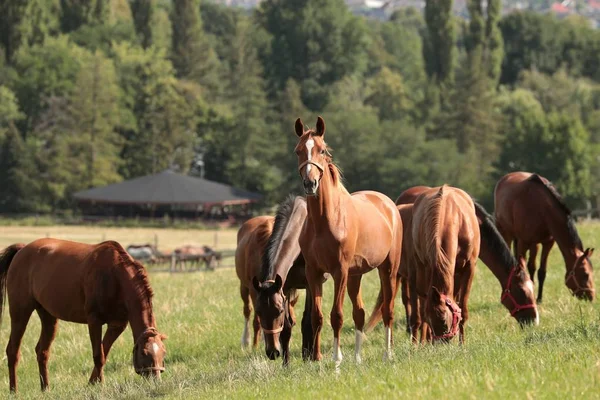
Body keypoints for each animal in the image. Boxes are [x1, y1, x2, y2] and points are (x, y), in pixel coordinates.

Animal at [0, 239, 166, 392]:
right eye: (144, 352)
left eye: (163, 352)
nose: (156, 381)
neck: (114, 276)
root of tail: (22, 250)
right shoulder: (94, 321)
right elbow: (99, 356)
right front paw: (99, 385)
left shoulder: (117, 325)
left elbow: (104, 352)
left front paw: (92, 383)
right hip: (20, 313)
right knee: (13, 350)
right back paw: (14, 390)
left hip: (48, 316)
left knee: (42, 351)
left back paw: (45, 388)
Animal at [251, 195, 324, 364]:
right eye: (258, 311)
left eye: (279, 311)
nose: (272, 352)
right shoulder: (283, 287)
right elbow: (286, 328)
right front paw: (286, 363)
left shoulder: (310, 284)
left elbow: (308, 321)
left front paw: (309, 357)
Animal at [292, 116, 400, 366]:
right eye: (298, 151)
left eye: (322, 150)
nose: (310, 184)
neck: (326, 221)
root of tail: (388, 204)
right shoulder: (314, 272)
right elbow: (317, 317)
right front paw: (317, 360)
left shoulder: (339, 271)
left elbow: (337, 315)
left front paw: (336, 359)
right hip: (355, 275)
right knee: (359, 313)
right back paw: (358, 358)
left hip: (387, 269)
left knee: (388, 310)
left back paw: (387, 354)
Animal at [410, 186, 480, 342]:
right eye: (430, 320)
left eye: (443, 319)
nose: (441, 343)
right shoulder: (428, 266)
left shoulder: (469, 267)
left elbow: (463, 310)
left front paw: (462, 343)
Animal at [492, 171, 596, 300]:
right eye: (585, 274)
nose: (591, 296)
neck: (542, 207)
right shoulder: (523, 242)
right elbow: (521, 267)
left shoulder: (547, 243)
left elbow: (541, 271)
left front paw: (539, 298)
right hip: (506, 233)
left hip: (534, 243)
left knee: (532, 266)